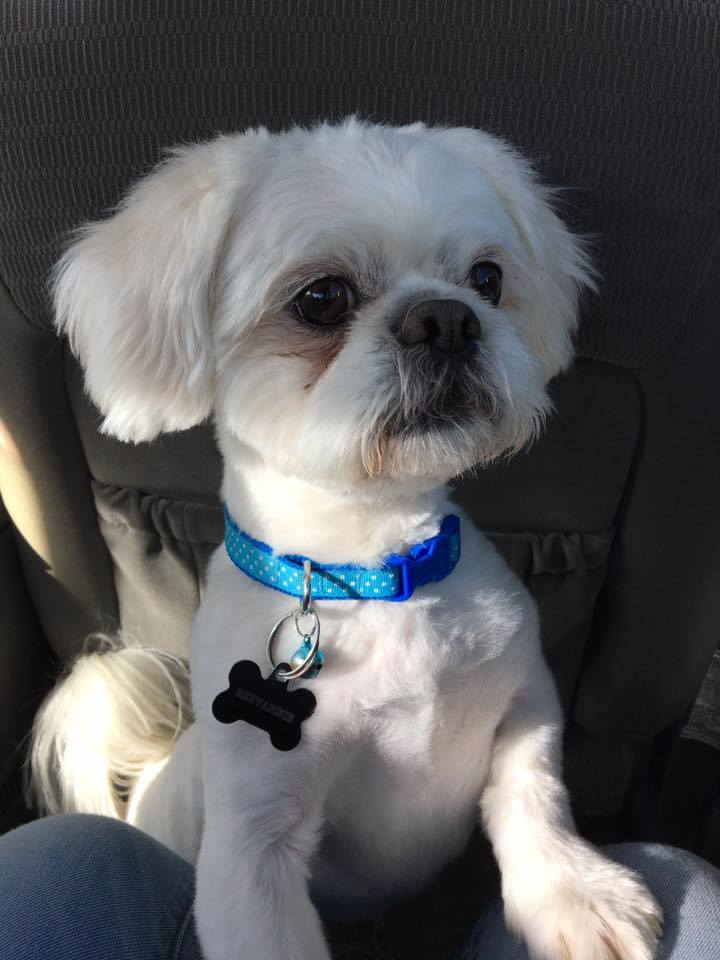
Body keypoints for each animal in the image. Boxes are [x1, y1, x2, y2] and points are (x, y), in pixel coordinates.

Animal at [29, 122, 664, 960]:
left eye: (487, 278)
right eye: (321, 298)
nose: (447, 318)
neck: (374, 573)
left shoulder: (524, 698)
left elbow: (536, 797)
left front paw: (574, 892)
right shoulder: (254, 851)